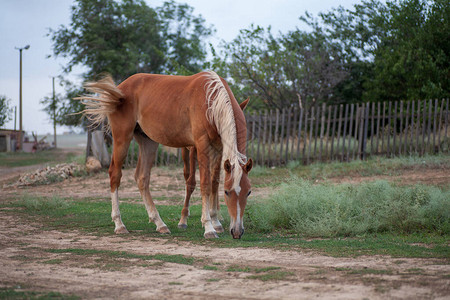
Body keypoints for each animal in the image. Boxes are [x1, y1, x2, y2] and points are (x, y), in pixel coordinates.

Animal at [178, 99, 250, 230]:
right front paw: (183, 219)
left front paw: (213, 217)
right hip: (185, 150)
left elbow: (214, 182)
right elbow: (191, 182)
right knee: (187, 174)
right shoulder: (194, 149)